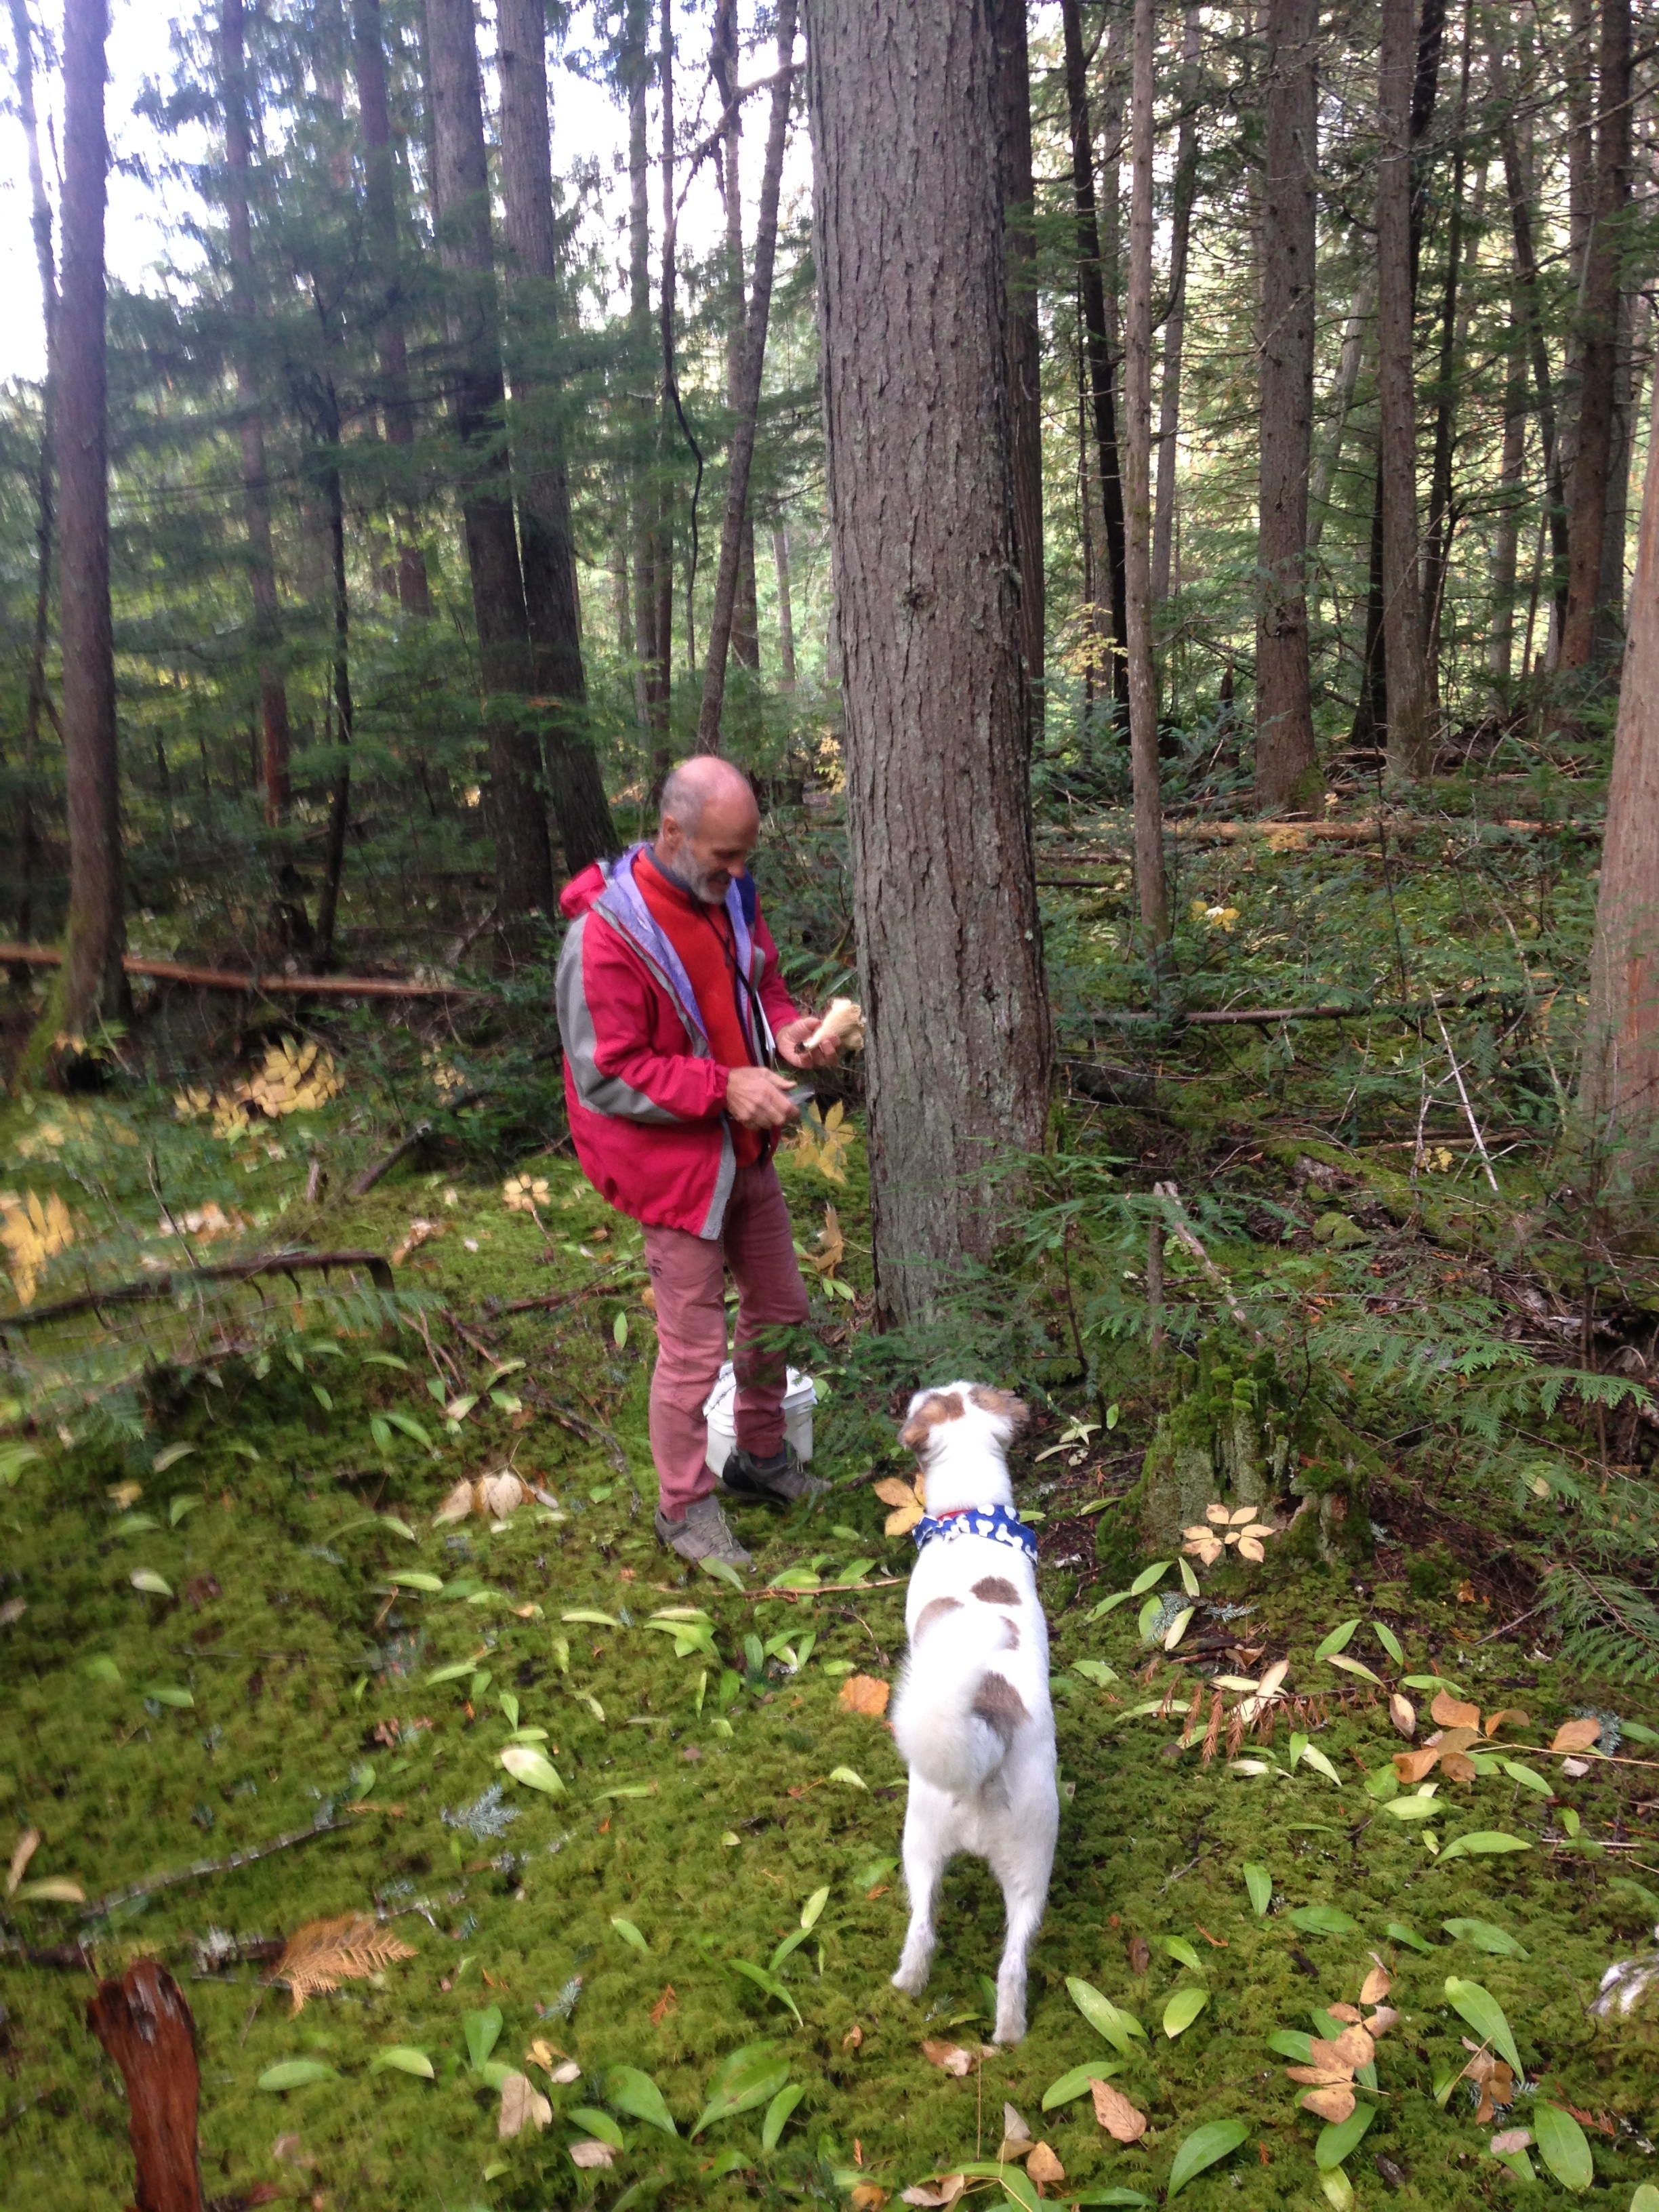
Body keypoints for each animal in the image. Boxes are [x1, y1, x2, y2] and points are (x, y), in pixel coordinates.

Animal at [889, 1380, 1057, 2034]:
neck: (971, 1520)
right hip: (1031, 1868)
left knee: (920, 1931)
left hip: (918, 1839)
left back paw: (903, 1989)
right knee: (1010, 1966)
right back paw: (1010, 2034)